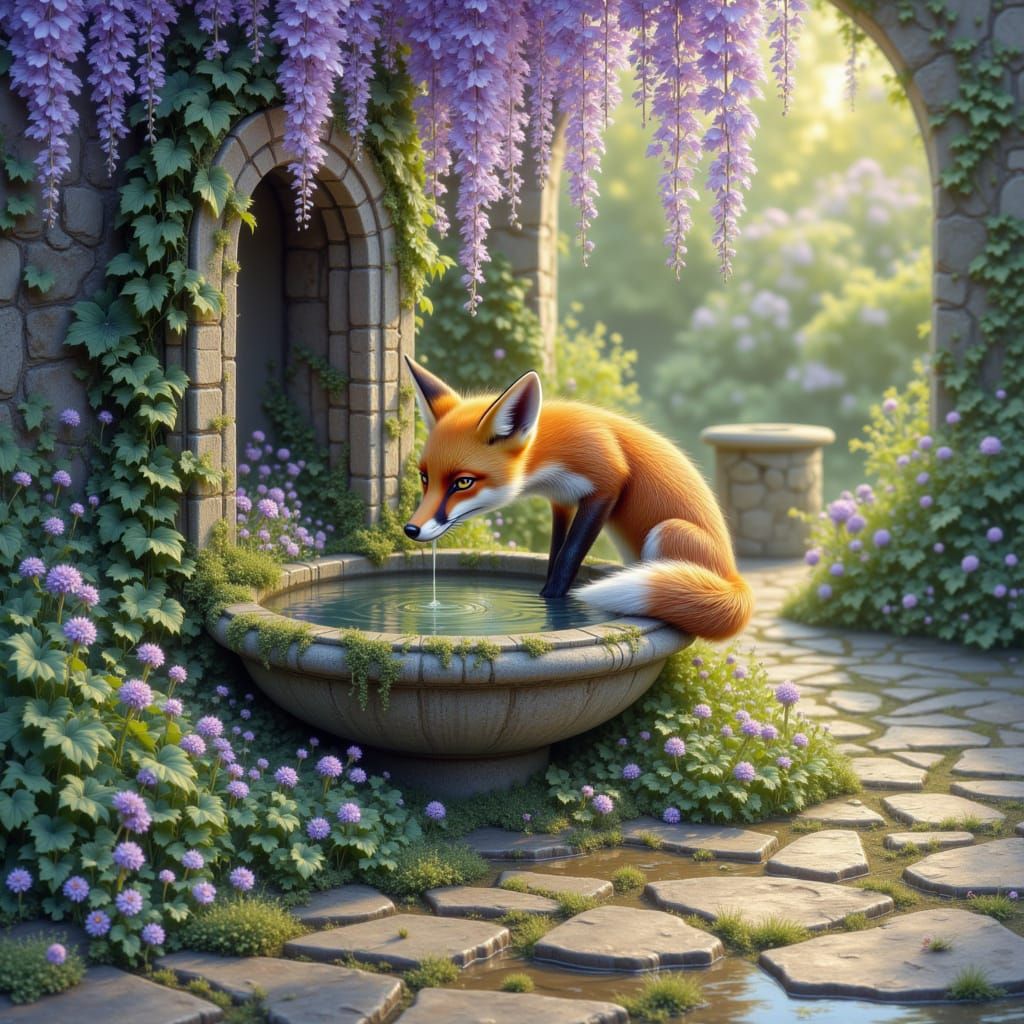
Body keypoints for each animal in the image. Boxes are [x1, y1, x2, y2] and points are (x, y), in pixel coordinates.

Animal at [402, 356, 753, 641]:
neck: (551, 453)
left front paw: (552, 602)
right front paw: (546, 599)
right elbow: (555, 555)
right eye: (424, 477)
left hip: (668, 531)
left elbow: (568, 558)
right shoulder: (562, 501)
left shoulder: (608, 481)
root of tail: (733, 575)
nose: (411, 529)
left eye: (463, 482)